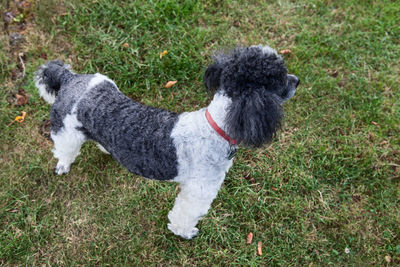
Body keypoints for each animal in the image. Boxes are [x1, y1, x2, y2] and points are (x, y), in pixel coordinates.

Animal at [34, 45, 298, 240]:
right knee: (64, 149)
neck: (215, 128)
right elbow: (184, 215)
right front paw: (184, 233)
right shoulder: (198, 193)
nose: (297, 80)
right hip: (66, 132)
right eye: (279, 79)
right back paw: (63, 165)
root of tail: (70, 78)